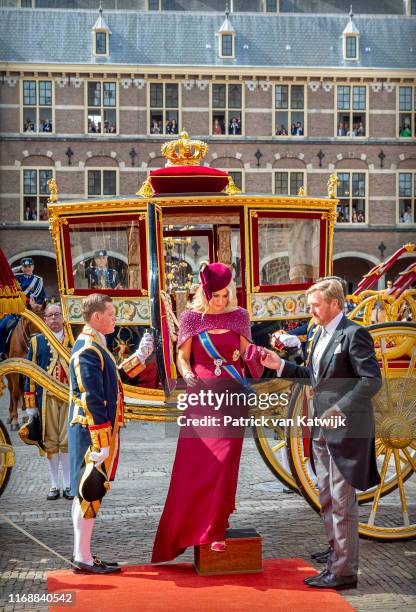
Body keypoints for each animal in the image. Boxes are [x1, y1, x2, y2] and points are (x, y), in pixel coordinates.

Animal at [4, 302, 45, 430]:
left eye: (44, 321)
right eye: (29, 322)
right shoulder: (14, 371)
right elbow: (15, 392)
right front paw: (14, 420)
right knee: (12, 389)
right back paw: (11, 415)